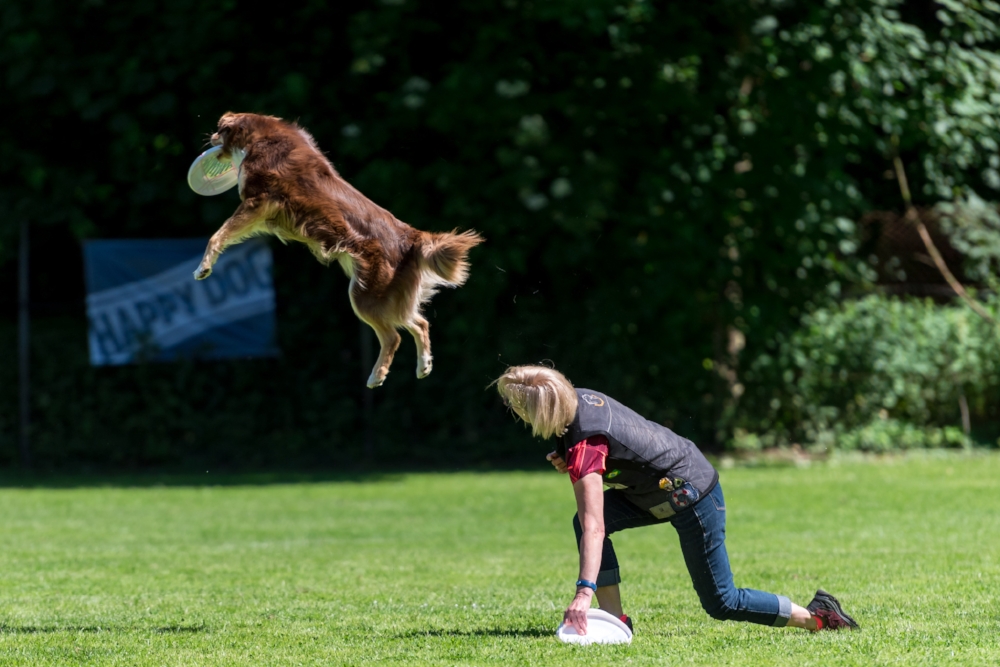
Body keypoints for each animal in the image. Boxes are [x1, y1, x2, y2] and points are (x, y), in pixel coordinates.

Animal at [196, 113, 484, 388]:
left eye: (219, 129)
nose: (209, 137)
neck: (259, 135)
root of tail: (412, 237)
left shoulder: (258, 201)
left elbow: (217, 235)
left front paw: (204, 267)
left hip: (364, 295)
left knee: (393, 336)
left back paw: (376, 376)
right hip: (389, 295)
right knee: (419, 323)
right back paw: (424, 365)